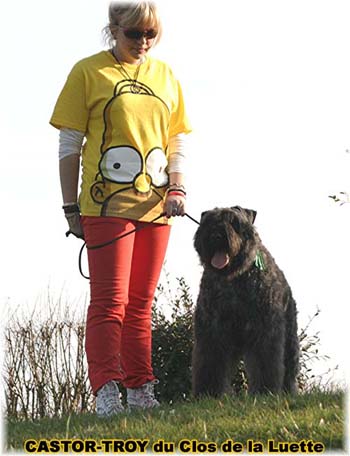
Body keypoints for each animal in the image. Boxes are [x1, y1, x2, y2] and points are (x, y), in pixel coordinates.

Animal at [193, 207, 300, 396]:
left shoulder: (264, 329)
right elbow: (210, 362)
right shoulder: (212, 330)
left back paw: (288, 392)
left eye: (234, 222)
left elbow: (265, 361)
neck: (233, 278)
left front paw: (265, 391)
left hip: (290, 338)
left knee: (289, 367)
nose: (216, 235)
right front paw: (208, 392)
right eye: (209, 221)